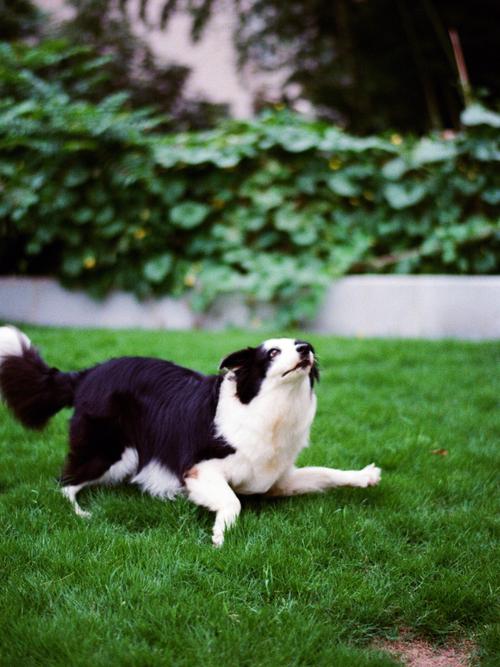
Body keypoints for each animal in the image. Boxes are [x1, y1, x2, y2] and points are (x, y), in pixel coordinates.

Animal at [0, 326, 380, 544]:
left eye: (301, 345)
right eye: (273, 352)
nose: (306, 348)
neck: (268, 407)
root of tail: (87, 373)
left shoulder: (275, 479)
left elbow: (325, 473)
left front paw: (364, 476)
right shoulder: (199, 469)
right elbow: (232, 500)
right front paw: (221, 535)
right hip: (112, 451)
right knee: (66, 481)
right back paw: (81, 515)